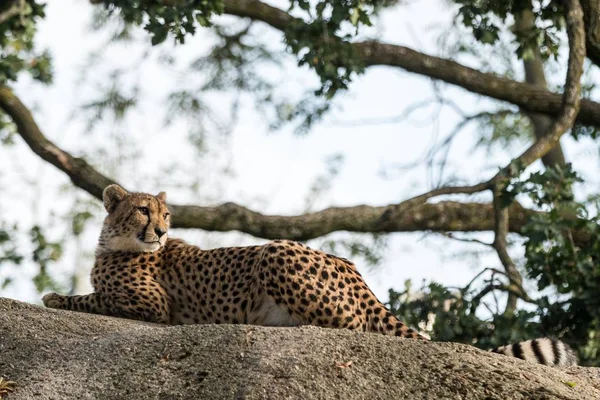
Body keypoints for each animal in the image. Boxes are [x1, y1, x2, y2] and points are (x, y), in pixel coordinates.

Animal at [42, 184, 576, 366]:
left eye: (165, 215)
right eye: (142, 210)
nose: (159, 230)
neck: (118, 243)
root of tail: (350, 267)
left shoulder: (152, 307)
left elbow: (93, 297)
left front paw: (54, 297)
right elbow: (94, 293)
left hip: (275, 253)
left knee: (355, 326)